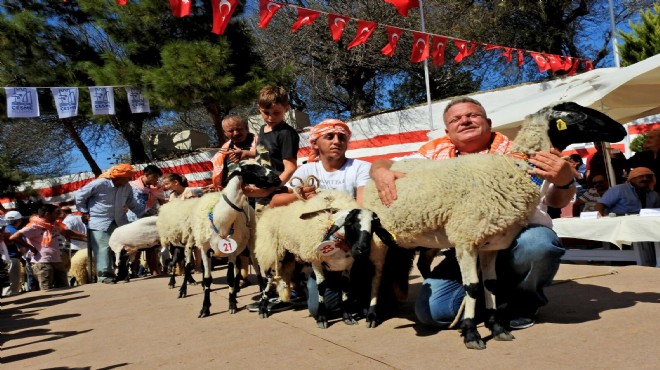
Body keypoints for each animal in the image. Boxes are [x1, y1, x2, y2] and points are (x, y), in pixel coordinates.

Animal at [364, 102, 628, 350]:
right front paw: (471, 332)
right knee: (377, 275)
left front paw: (497, 327)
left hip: (422, 237)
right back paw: (372, 315)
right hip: (379, 240)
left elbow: (489, 285)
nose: (622, 130)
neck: (513, 171)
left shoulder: (491, 243)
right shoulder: (466, 240)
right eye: (576, 115)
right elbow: (471, 287)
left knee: (420, 264)